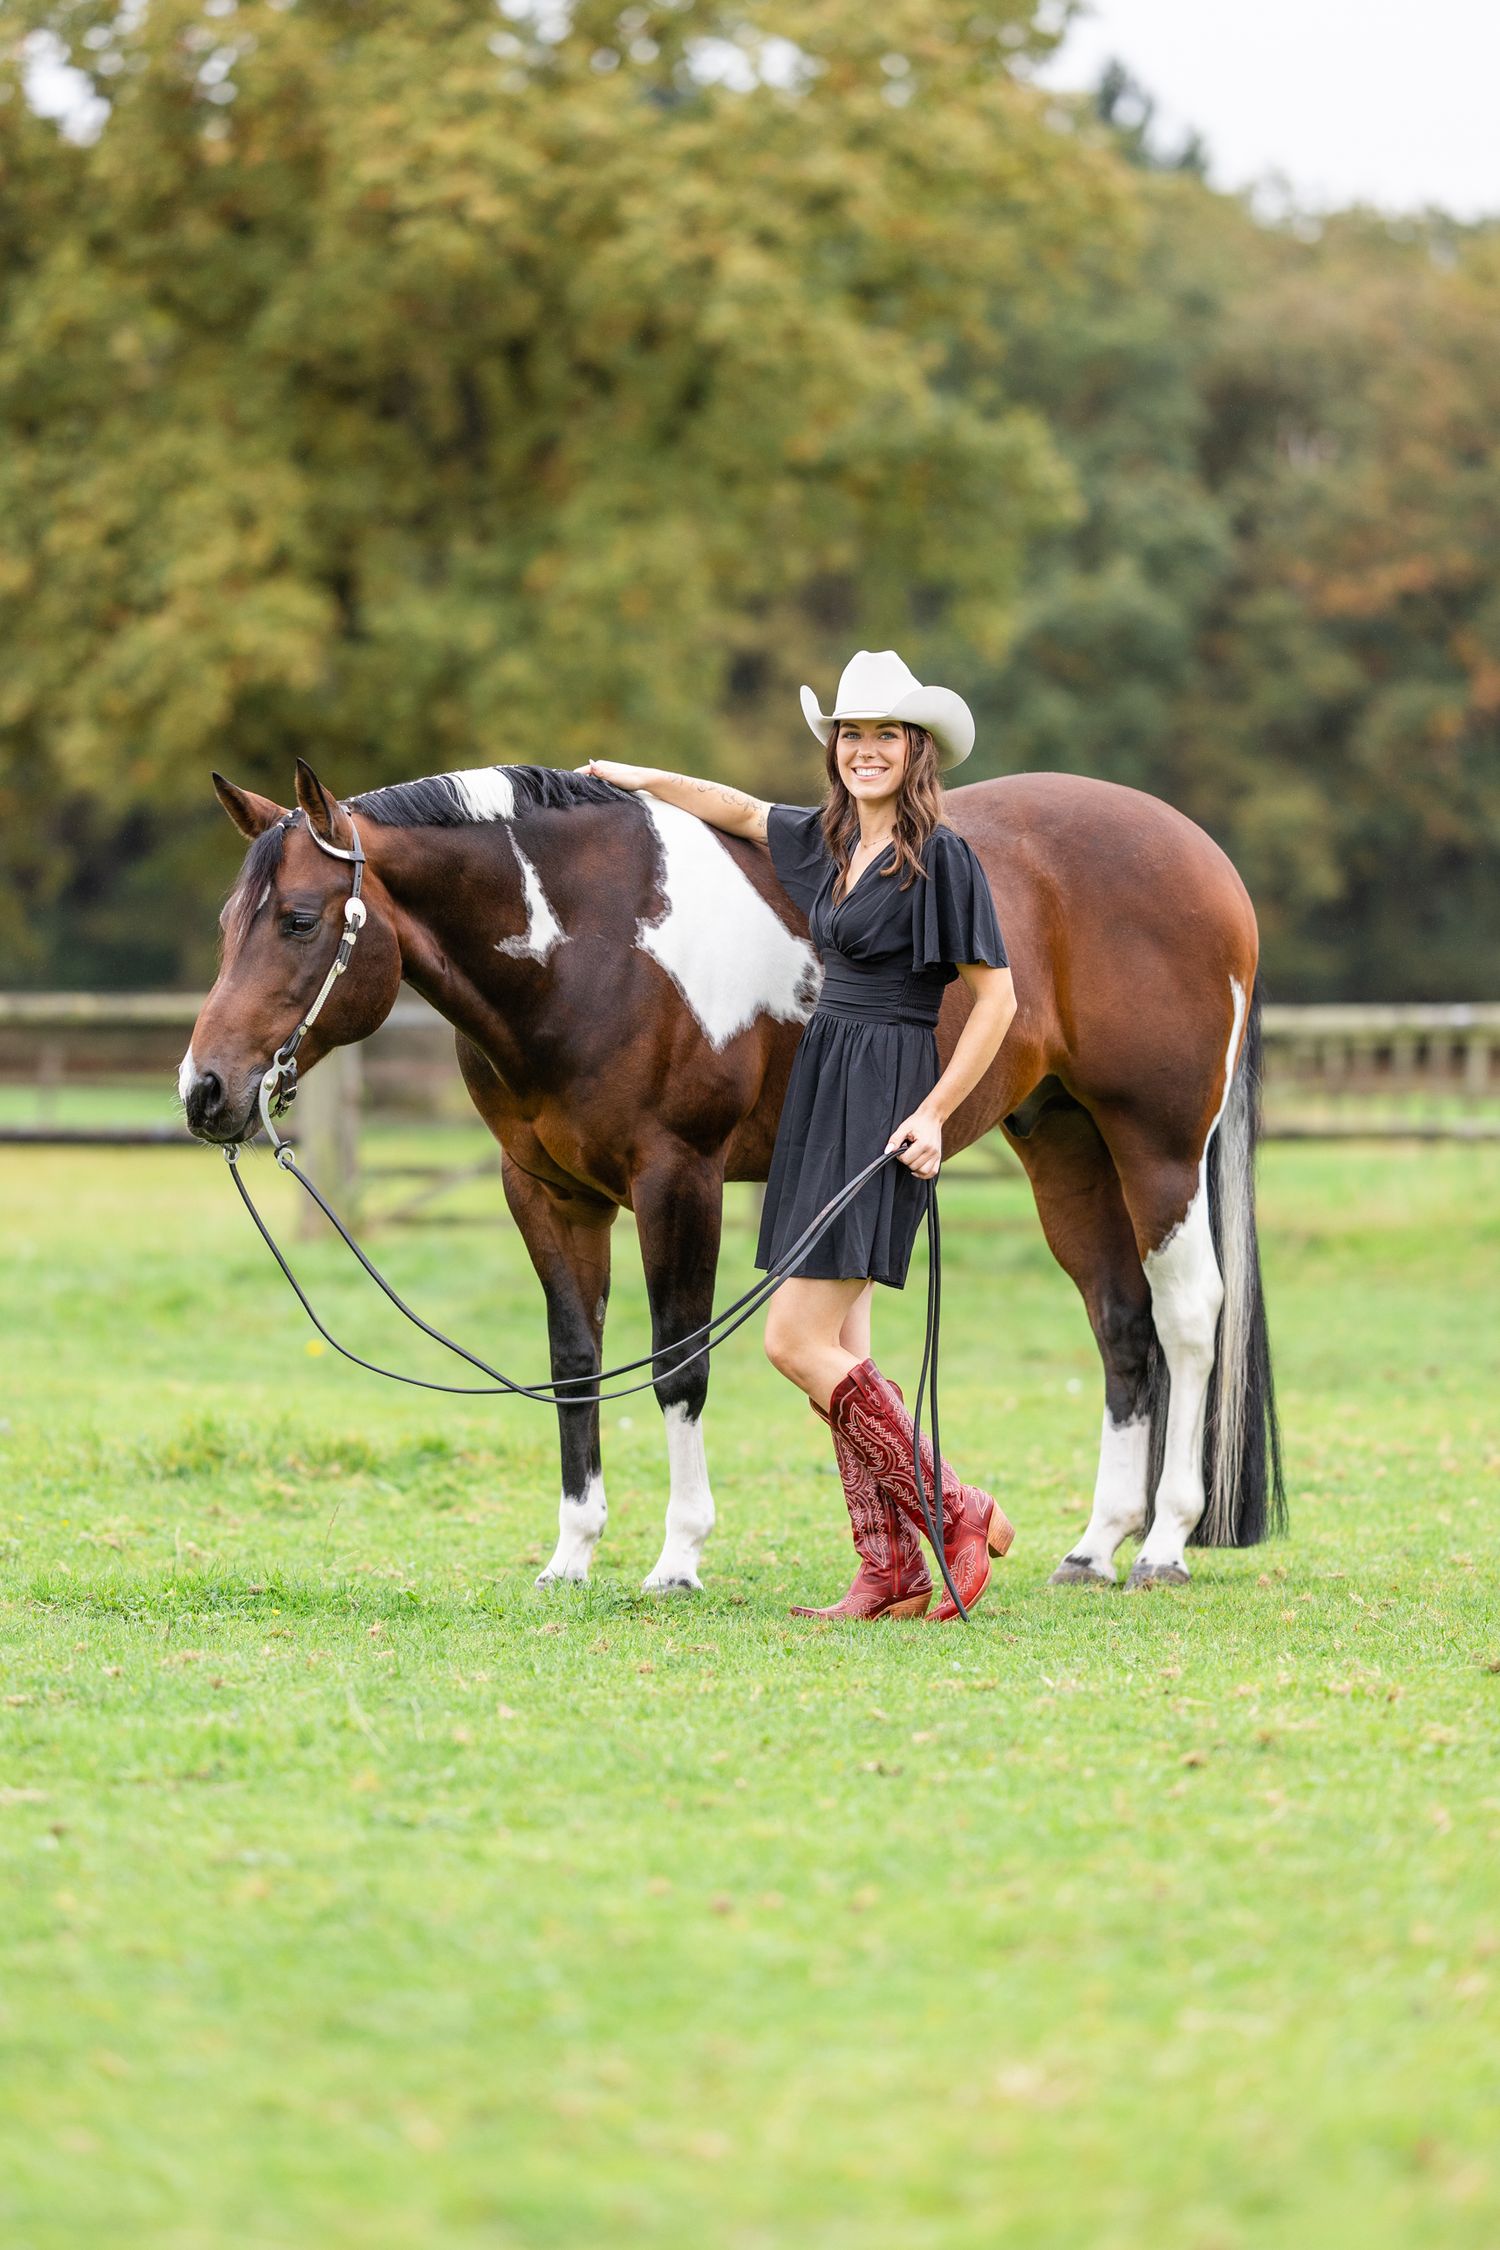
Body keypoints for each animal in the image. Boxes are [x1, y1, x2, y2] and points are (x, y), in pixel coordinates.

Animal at [181, 757, 1283, 1593]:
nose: (205, 1092)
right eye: (228, 922)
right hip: (1063, 1143)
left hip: (1157, 1144)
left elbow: (678, 1363)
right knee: (1121, 1326)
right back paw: (1094, 1547)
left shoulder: (680, 1178)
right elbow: (576, 1364)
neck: (593, 942)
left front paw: (677, 1557)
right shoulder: (545, 1192)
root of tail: (1205, 858)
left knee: (1189, 1317)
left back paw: (1166, 1544)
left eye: (299, 919)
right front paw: (571, 1556)